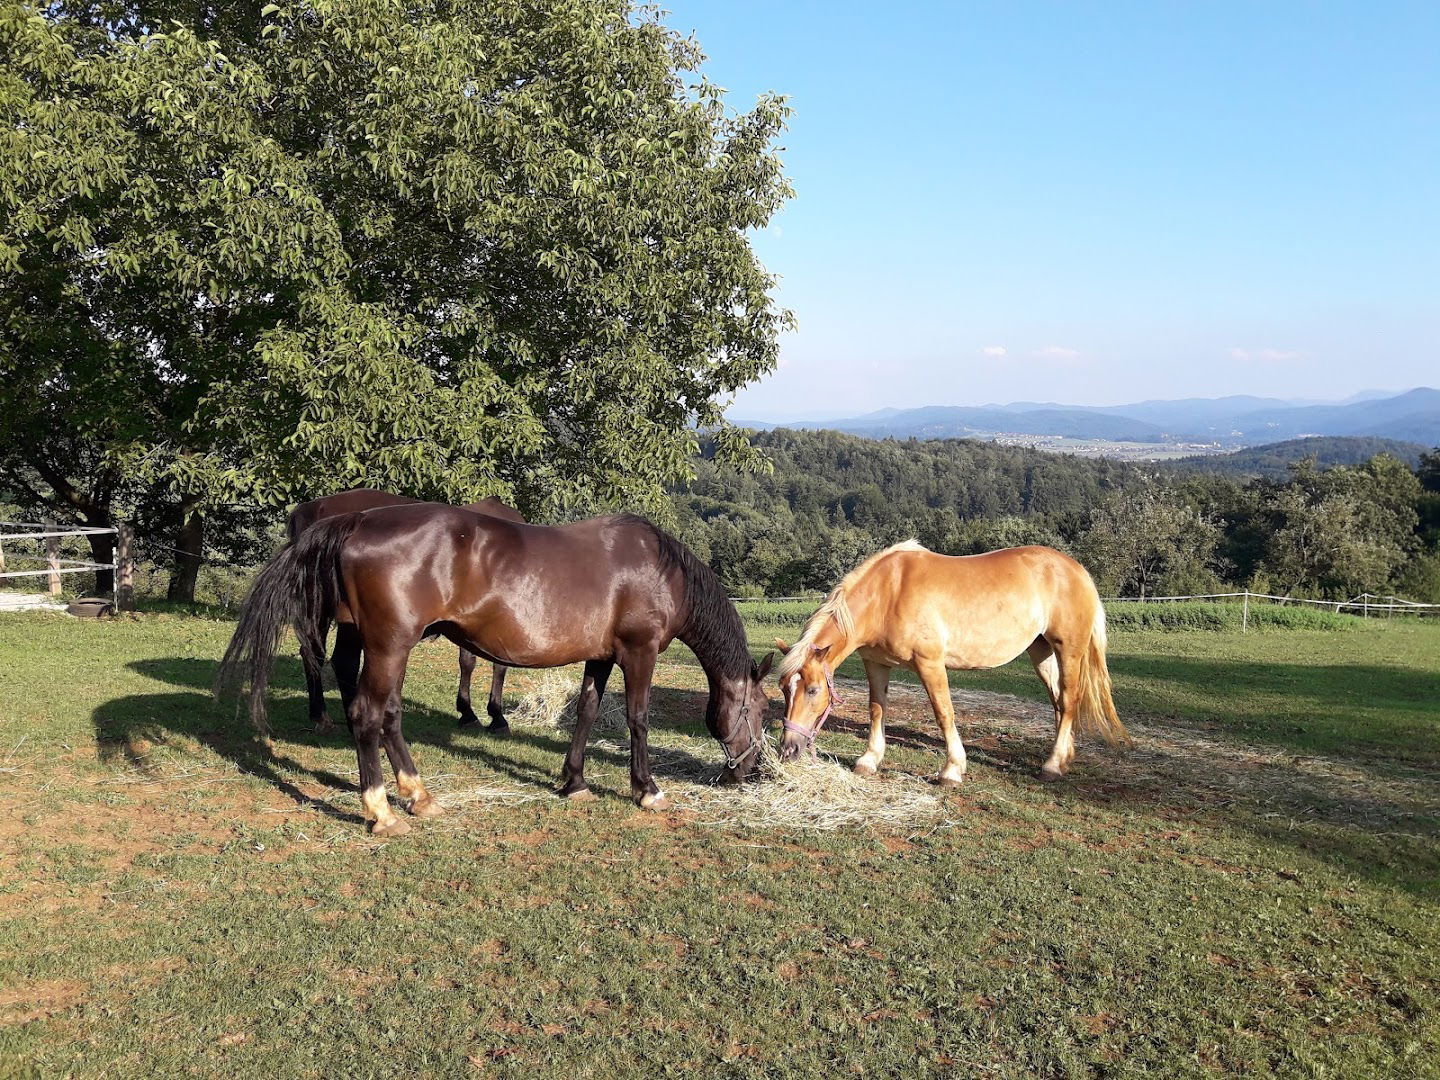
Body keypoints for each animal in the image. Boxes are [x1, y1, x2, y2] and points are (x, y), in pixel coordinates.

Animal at [286, 489, 524, 737]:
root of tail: (312, 507)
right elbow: (488, 664)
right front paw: (487, 715)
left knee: (313, 653)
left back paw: (321, 715)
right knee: (339, 660)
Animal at [777, 544, 1123, 783]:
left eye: (813, 690)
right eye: (783, 689)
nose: (788, 749)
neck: (887, 594)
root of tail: (1078, 570)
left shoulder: (930, 664)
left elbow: (944, 713)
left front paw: (952, 770)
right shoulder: (875, 664)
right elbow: (877, 709)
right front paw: (869, 760)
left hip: (1069, 651)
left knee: (1070, 700)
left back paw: (1051, 766)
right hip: (1041, 652)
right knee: (1059, 702)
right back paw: (1062, 759)